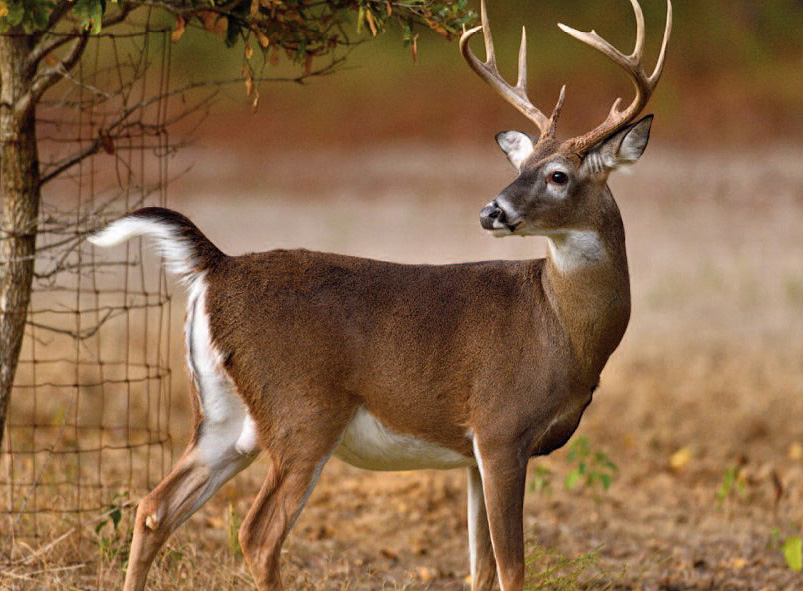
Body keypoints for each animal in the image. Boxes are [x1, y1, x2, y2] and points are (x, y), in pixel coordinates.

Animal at [89, 1, 672, 591]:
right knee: (257, 534)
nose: (492, 211)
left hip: (223, 416)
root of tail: (218, 266)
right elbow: (512, 568)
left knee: (153, 507)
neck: (561, 326)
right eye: (521, 168)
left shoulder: (472, 453)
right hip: (303, 410)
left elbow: (481, 569)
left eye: (556, 175)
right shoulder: (501, 426)